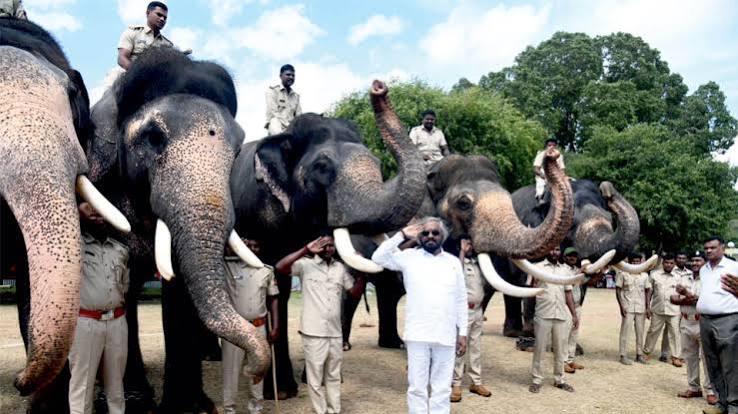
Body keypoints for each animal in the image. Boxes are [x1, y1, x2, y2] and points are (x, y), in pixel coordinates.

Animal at [83, 47, 269, 412]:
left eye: (238, 150)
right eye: (154, 137)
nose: (254, 370)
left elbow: (180, 288)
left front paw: (190, 406)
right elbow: (123, 288)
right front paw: (136, 402)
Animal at [229, 80, 426, 396]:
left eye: (377, 163)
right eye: (322, 168)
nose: (378, 87)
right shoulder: (262, 215)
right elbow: (274, 283)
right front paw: (281, 392)